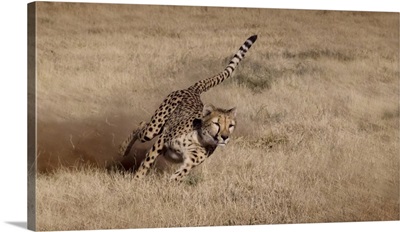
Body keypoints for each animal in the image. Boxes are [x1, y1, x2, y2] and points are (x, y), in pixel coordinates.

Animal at [119, 35, 258, 181]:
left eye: (231, 125)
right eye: (217, 124)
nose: (225, 137)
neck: (199, 139)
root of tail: (193, 90)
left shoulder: (190, 162)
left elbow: (179, 175)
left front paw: (168, 184)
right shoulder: (162, 140)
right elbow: (147, 162)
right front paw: (137, 179)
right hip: (154, 128)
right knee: (141, 125)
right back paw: (123, 150)